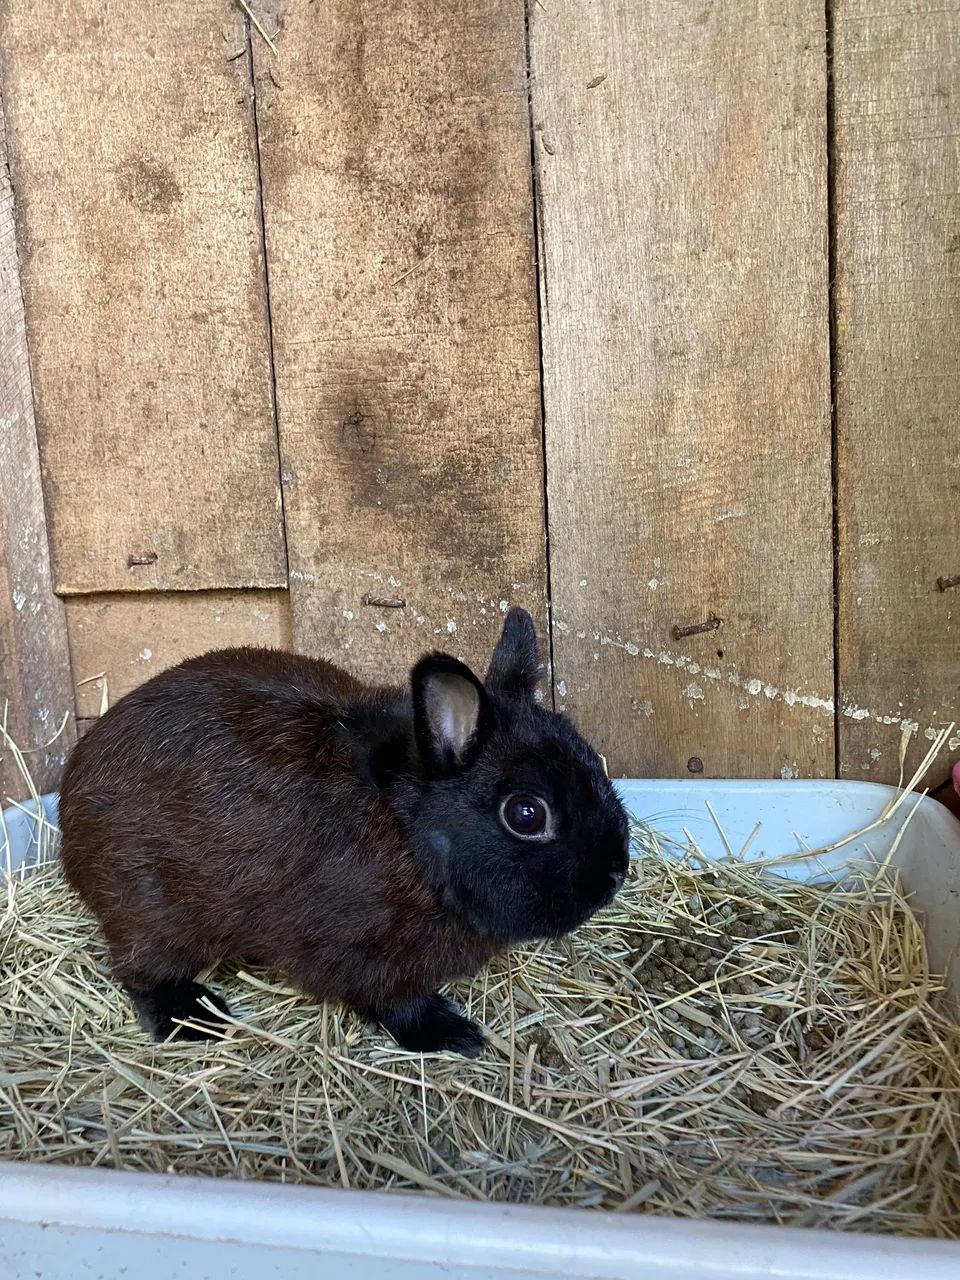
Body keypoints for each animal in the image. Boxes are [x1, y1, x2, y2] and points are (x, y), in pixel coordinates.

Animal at [58, 607, 630, 1056]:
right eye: (526, 814)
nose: (615, 874)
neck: (410, 835)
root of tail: (69, 809)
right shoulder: (365, 957)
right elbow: (397, 1003)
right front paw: (453, 1035)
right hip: (153, 910)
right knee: (142, 970)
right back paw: (195, 1017)